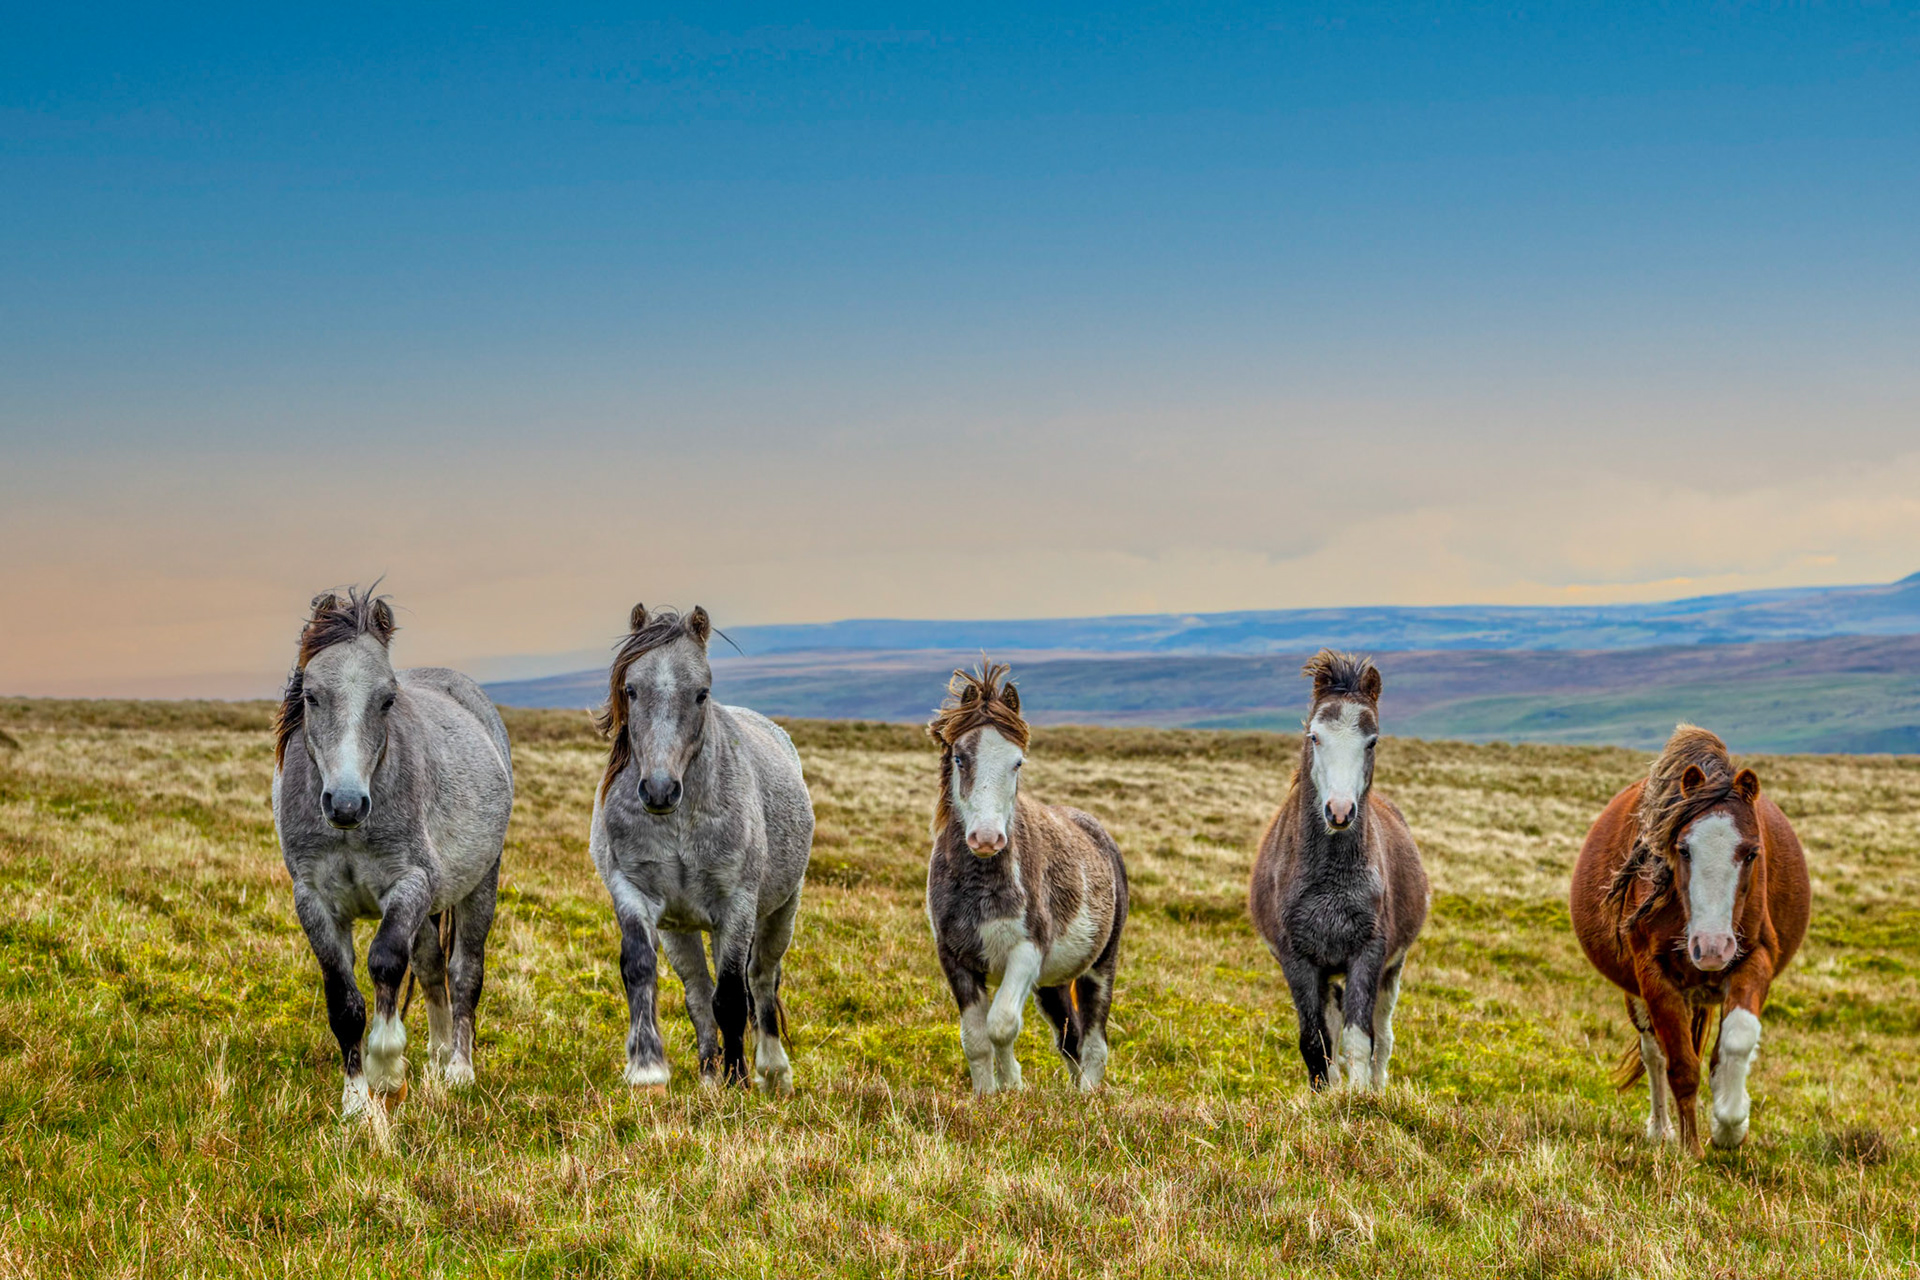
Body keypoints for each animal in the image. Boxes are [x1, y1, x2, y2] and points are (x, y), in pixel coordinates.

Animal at [272, 588, 514, 1117]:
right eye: (311, 695)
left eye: (386, 699)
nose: (345, 804)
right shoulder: (314, 901)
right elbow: (343, 1000)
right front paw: (356, 1101)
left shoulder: (409, 885)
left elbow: (385, 962)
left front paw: (386, 1072)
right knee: (429, 968)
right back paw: (439, 1057)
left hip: (479, 885)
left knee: (463, 973)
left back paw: (459, 1071)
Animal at [589, 604, 814, 1092]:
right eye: (631, 690)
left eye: (701, 694)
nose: (658, 790)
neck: (677, 824)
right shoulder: (632, 893)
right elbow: (641, 970)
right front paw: (647, 1069)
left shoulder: (737, 906)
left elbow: (731, 996)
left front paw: (737, 1078)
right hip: (683, 929)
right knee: (697, 991)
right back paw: (709, 1071)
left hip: (779, 912)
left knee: (761, 980)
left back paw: (772, 1072)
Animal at [925, 663, 1129, 1095]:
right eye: (960, 757)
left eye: (1017, 762)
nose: (986, 839)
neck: (981, 888)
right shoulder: (954, 959)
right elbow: (975, 1038)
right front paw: (987, 1094)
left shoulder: (1025, 953)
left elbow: (1002, 1024)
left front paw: (1014, 1085)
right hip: (1052, 983)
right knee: (1070, 1036)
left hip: (1101, 965)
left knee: (1094, 1040)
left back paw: (1088, 1096)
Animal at [1250, 650, 1428, 1090]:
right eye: (1315, 736)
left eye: (1372, 740)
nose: (1340, 811)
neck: (1328, 883)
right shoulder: (1299, 961)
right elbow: (1316, 1045)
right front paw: (1326, 1098)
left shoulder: (1368, 954)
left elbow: (1360, 1040)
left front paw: (1360, 1098)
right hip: (1328, 977)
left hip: (1390, 970)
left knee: (1383, 1036)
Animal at [1570, 724, 1810, 1156]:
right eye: (1683, 849)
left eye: (1752, 853)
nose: (1711, 947)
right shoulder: (1654, 975)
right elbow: (1680, 1065)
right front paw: (1691, 1149)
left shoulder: (1756, 957)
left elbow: (1736, 1041)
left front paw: (1730, 1125)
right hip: (1638, 994)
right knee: (1654, 1054)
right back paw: (1661, 1129)